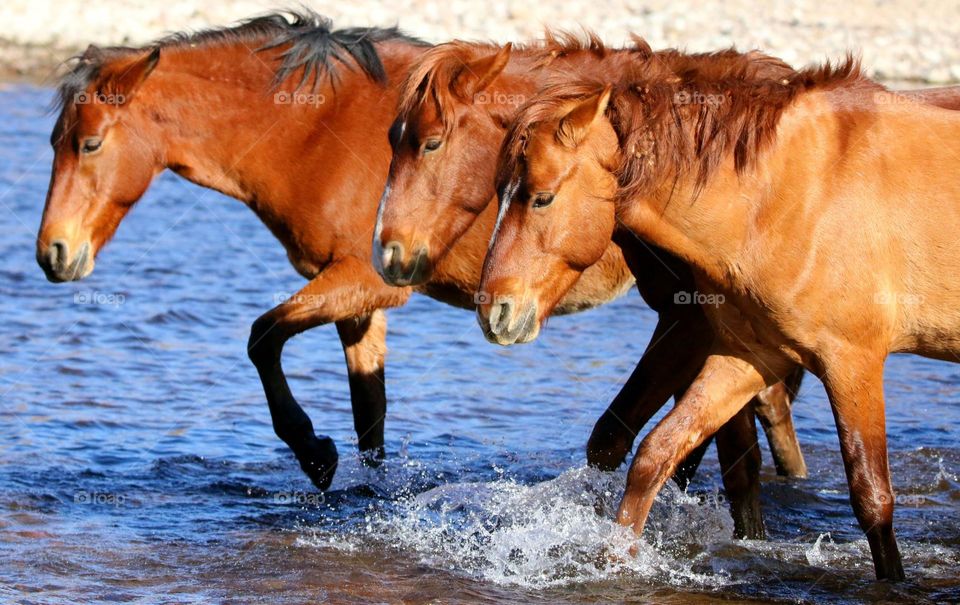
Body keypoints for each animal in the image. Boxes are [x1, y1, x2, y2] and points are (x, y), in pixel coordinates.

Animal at [481, 43, 960, 580]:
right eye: (498, 191)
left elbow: (872, 499)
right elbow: (656, 453)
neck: (789, 197)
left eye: (542, 198)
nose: (495, 311)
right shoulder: (752, 356)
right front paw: (615, 557)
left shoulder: (851, 364)